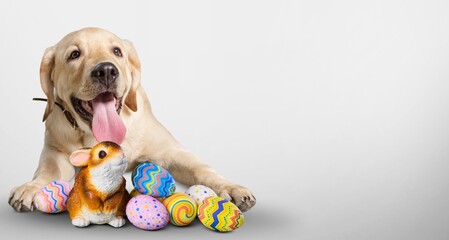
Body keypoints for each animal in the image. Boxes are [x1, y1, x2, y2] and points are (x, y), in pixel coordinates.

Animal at [7, 27, 256, 212]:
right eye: (74, 55)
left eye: (117, 51)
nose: (106, 71)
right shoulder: (55, 151)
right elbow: (47, 171)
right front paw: (31, 187)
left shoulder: (172, 151)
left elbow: (202, 169)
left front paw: (230, 187)